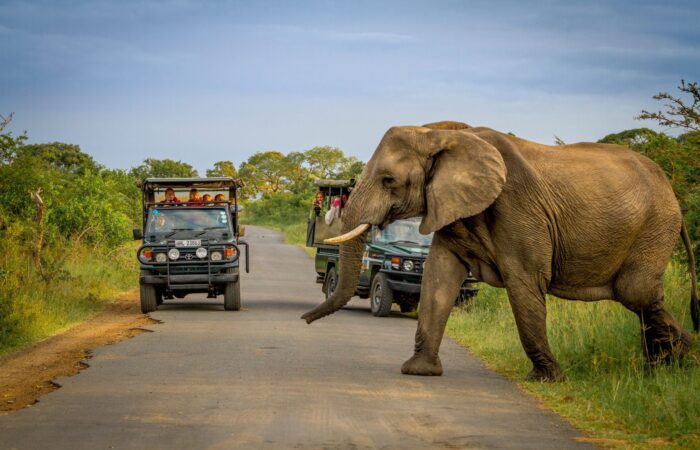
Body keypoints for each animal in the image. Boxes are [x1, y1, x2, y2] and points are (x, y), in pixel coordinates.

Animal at [302, 119, 700, 380]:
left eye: (388, 180)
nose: (304, 320)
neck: (443, 132)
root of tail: (672, 192)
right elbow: (438, 278)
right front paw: (419, 372)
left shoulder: (518, 208)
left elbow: (524, 283)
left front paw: (547, 379)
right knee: (640, 297)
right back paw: (670, 363)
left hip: (654, 226)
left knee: (637, 291)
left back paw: (679, 358)